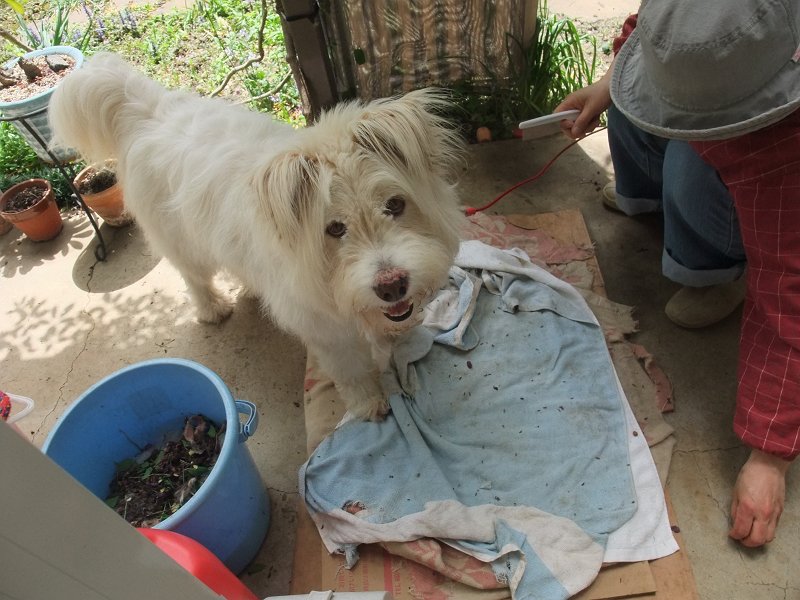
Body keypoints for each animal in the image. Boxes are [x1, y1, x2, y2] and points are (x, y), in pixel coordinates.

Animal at [49, 53, 466, 421]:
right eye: (334, 228)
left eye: (395, 205)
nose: (392, 285)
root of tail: (150, 108)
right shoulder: (327, 333)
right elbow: (351, 373)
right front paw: (370, 405)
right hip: (182, 242)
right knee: (194, 277)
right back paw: (213, 309)